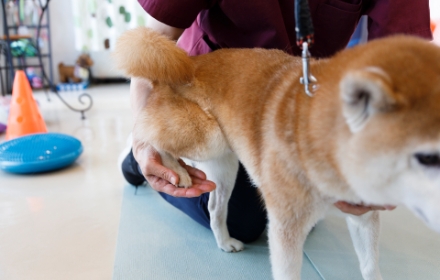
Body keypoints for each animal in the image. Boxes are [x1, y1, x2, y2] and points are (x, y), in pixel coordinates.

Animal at [114, 27, 440, 280]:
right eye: (427, 158)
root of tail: (187, 63)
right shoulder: (286, 227)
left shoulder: (364, 216)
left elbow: (371, 267)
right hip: (208, 137)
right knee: (147, 135)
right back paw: (174, 171)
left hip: (225, 163)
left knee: (215, 209)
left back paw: (224, 241)